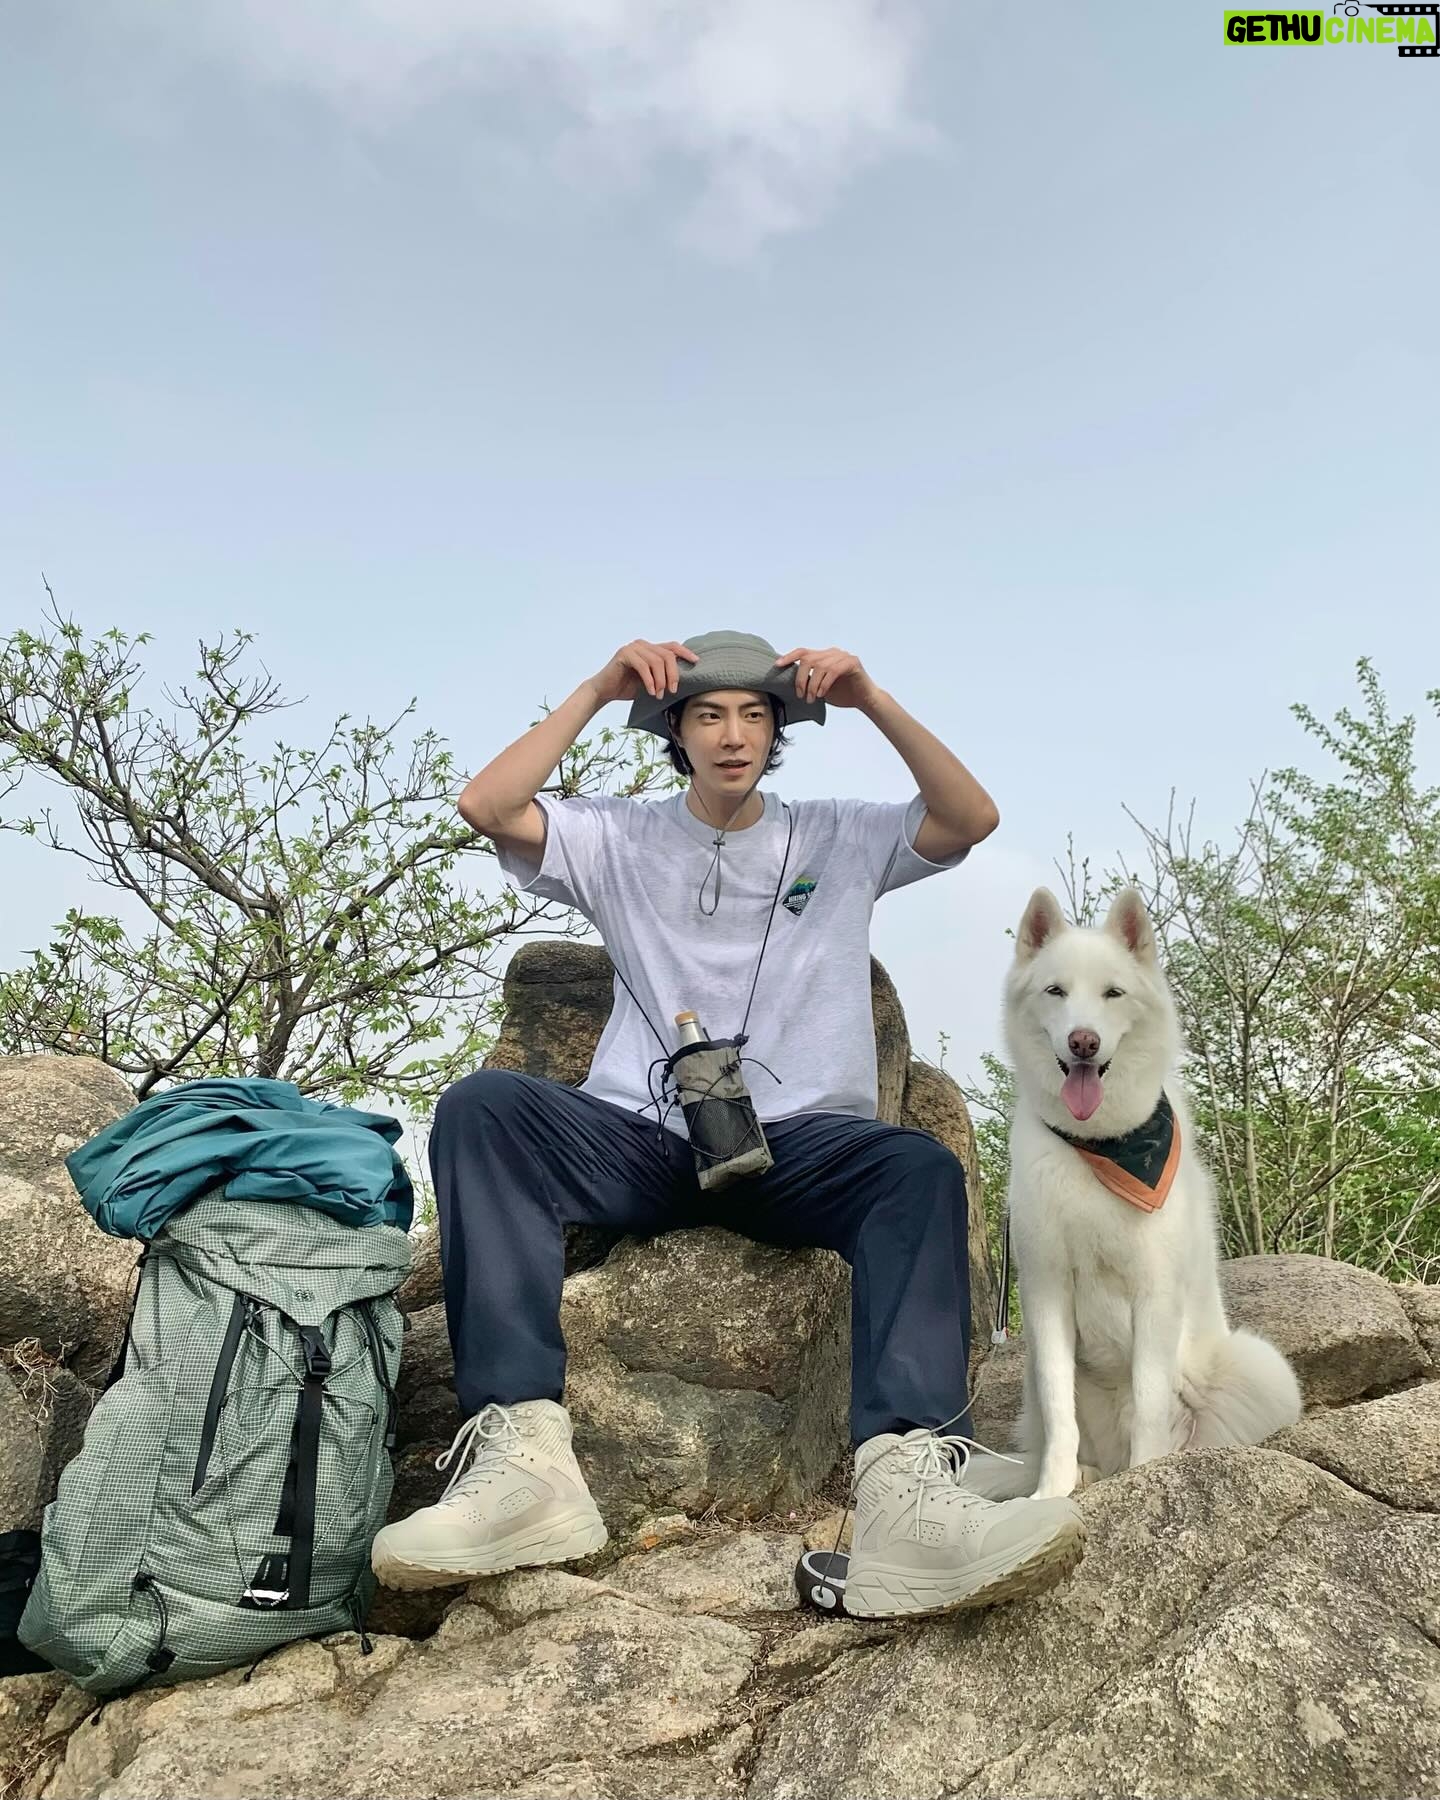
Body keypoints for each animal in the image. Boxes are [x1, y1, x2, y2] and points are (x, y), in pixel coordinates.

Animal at [971, 886, 1302, 1502]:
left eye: (1113, 993)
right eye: (1056, 991)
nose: (1084, 1041)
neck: (1101, 1143)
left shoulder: (1155, 1293)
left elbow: (1150, 1402)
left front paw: (1148, 1480)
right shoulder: (1047, 1294)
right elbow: (1061, 1411)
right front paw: (1050, 1495)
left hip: (1261, 1366)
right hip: (1031, 1375)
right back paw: (1085, 1474)